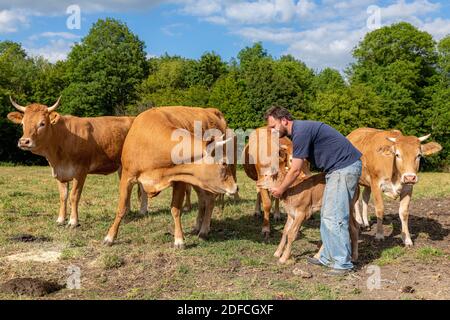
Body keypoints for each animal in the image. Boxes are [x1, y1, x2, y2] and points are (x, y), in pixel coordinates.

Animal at [6, 97, 148, 228]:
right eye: (22, 124)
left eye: (42, 123)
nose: (24, 141)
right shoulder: (60, 173)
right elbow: (63, 196)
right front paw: (60, 219)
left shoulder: (80, 172)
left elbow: (74, 196)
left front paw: (73, 221)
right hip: (122, 166)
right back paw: (129, 212)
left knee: (142, 186)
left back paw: (142, 210)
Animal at [103, 107, 237, 248]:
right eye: (223, 163)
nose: (235, 187)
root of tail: (212, 111)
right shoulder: (126, 177)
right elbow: (121, 208)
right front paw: (110, 237)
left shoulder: (180, 180)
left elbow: (175, 209)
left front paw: (179, 240)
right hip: (200, 182)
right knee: (203, 200)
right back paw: (197, 227)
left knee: (209, 200)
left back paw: (204, 231)